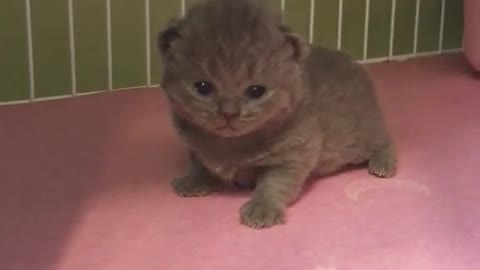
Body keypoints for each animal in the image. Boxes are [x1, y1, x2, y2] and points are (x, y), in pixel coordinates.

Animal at [156, 0, 396, 230]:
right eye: (203, 87)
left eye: (256, 91)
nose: (229, 113)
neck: (231, 144)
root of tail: (353, 62)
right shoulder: (194, 147)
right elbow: (200, 164)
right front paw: (193, 181)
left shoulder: (295, 154)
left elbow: (275, 184)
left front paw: (262, 208)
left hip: (361, 134)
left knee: (385, 141)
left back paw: (383, 163)